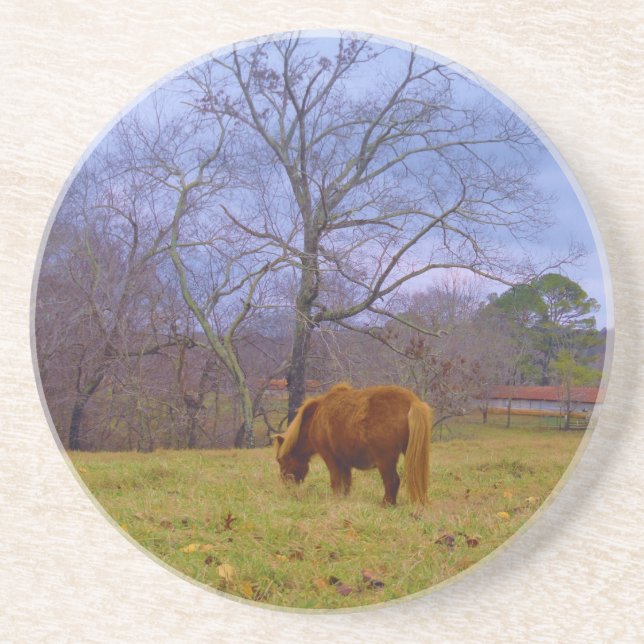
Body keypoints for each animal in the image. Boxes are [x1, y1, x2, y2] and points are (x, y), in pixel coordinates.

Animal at [275, 383, 433, 508]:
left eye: (281, 460)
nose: (286, 486)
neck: (315, 417)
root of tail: (412, 401)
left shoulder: (330, 457)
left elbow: (336, 480)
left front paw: (335, 499)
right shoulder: (344, 461)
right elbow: (346, 482)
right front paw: (344, 499)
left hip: (385, 460)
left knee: (392, 480)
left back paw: (386, 504)